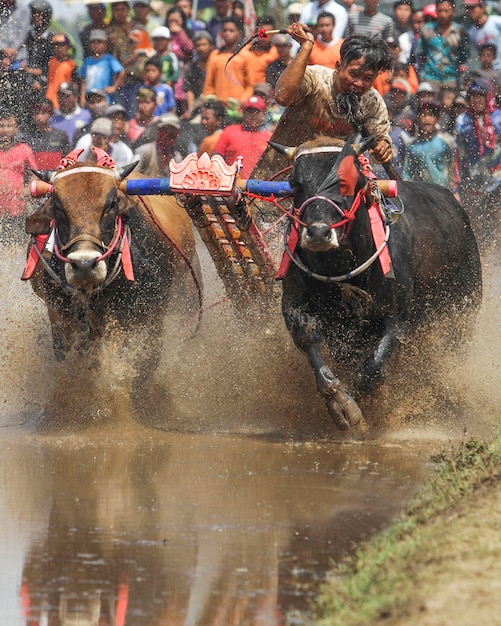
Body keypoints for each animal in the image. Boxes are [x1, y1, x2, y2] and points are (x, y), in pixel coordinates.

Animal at [24, 147, 201, 420]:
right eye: (58, 206)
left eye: (111, 204)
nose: (84, 265)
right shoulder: (61, 316)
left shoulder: (147, 319)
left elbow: (138, 368)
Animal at [274, 136, 480, 428]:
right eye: (294, 182)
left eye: (351, 179)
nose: (318, 233)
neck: (341, 268)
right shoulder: (295, 308)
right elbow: (314, 350)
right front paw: (340, 406)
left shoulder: (396, 319)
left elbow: (370, 372)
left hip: (464, 311)